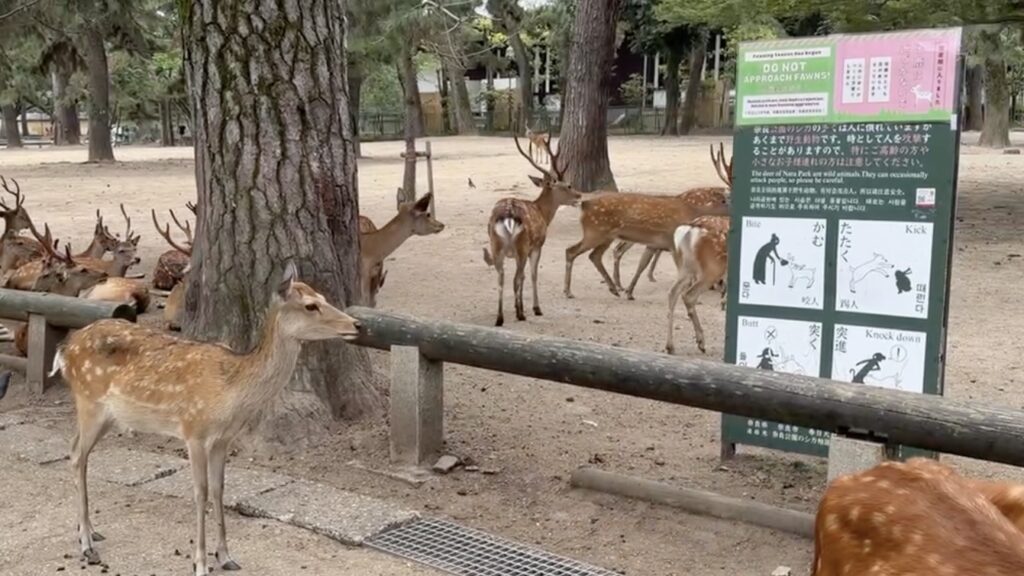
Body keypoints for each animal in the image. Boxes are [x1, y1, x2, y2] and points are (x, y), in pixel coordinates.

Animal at [51, 260, 361, 576]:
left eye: (323, 297)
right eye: (311, 305)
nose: (356, 325)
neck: (232, 392)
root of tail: (65, 348)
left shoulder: (223, 439)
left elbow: (219, 489)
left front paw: (225, 556)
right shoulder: (194, 431)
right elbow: (200, 492)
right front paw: (199, 562)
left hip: (108, 415)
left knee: (77, 450)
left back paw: (90, 531)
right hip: (88, 401)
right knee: (76, 454)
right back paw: (87, 544)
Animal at [482, 131, 581, 326]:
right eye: (568, 186)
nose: (579, 196)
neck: (543, 213)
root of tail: (508, 215)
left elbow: (523, 277)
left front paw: (518, 306)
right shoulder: (537, 246)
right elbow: (533, 275)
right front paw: (535, 308)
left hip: (496, 246)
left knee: (501, 278)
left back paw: (500, 318)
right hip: (522, 245)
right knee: (515, 278)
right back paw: (521, 315)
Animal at [665, 215, 729, 355]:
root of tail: (689, 229)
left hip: (685, 267)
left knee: (672, 292)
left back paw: (670, 346)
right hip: (712, 268)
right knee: (689, 295)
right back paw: (701, 342)